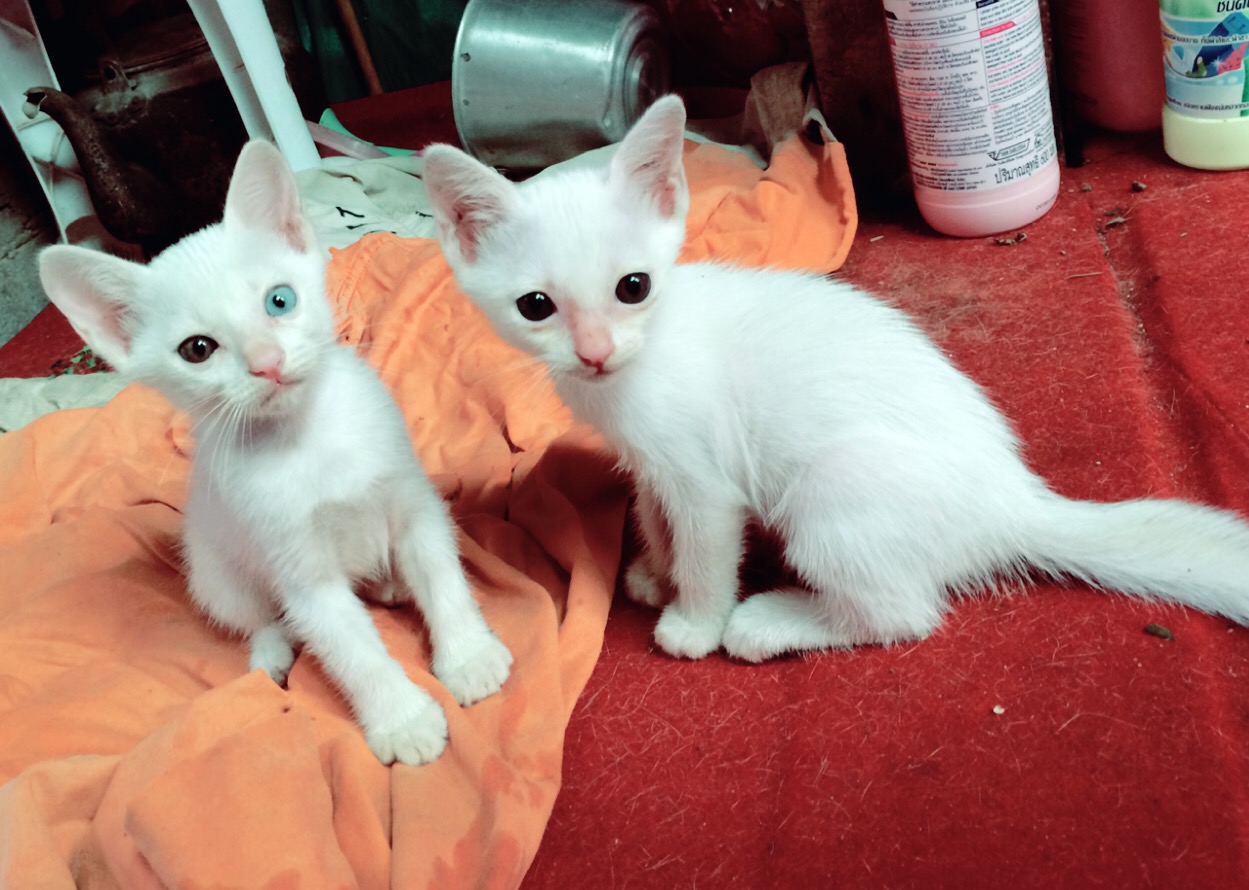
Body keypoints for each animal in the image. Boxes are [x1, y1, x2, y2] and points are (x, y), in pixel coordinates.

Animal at [38, 140, 512, 765]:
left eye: (279, 301)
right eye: (197, 349)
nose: (267, 362)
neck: (309, 438)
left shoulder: (414, 504)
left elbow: (441, 575)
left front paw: (468, 656)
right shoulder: (301, 572)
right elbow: (351, 648)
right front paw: (401, 720)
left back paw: (388, 582)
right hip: (214, 571)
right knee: (255, 617)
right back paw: (272, 650)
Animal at [421, 94, 1249, 663]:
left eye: (633, 287)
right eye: (535, 306)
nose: (593, 353)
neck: (630, 374)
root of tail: (1011, 504)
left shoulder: (704, 480)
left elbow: (705, 549)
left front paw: (691, 620)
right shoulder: (653, 463)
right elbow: (654, 515)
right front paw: (654, 571)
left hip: (829, 492)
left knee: (902, 615)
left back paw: (766, 623)